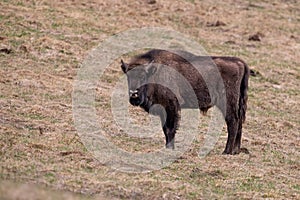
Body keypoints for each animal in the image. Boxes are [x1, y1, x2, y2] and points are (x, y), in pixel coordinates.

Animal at [120, 48, 250, 155]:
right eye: (128, 76)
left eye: (143, 77)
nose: (134, 95)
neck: (156, 74)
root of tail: (239, 62)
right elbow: (165, 129)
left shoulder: (171, 107)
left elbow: (170, 129)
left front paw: (170, 148)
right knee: (239, 122)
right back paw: (235, 151)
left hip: (227, 103)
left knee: (233, 122)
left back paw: (226, 151)